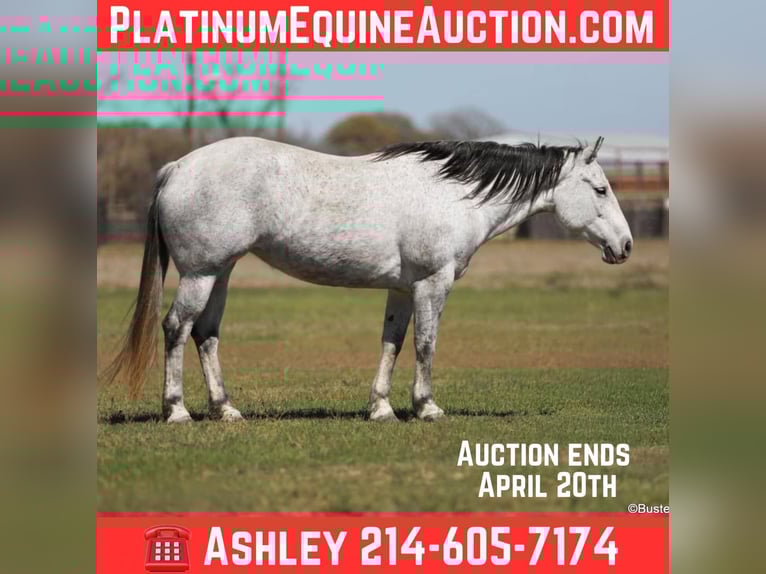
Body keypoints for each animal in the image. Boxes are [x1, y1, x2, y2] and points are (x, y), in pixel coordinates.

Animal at [102, 136, 632, 423]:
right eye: (600, 189)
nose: (625, 246)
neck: (453, 195)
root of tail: (178, 167)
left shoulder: (402, 288)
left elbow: (391, 344)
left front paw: (381, 407)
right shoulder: (432, 284)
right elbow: (425, 345)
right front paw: (426, 407)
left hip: (221, 273)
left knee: (206, 334)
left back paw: (226, 409)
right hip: (201, 273)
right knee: (176, 329)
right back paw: (177, 411)